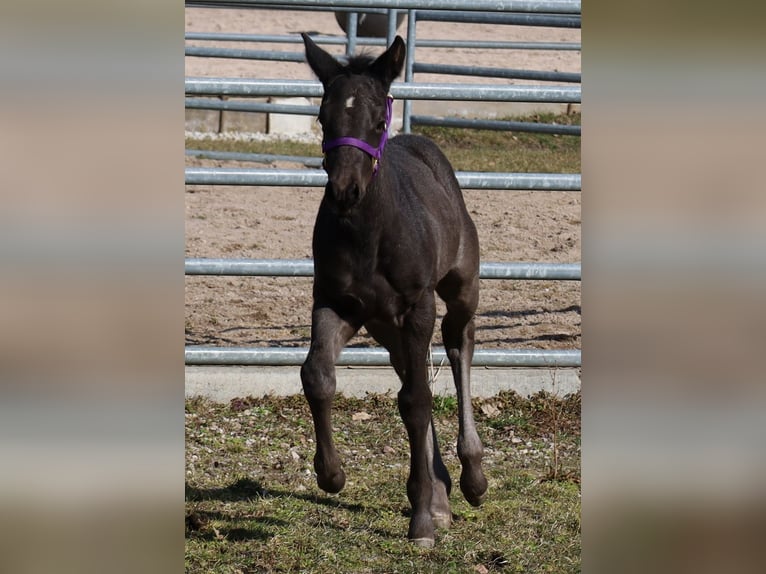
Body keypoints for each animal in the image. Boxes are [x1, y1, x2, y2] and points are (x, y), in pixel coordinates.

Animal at [300, 32, 486, 548]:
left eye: (378, 119)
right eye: (322, 116)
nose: (345, 191)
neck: (369, 236)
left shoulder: (417, 306)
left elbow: (417, 401)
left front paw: (421, 519)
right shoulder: (336, 302)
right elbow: (317, 375)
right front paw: (331, 475)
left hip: (459, 289)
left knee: (458, 345)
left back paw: (471, 477)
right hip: (385, 324)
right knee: (410, 370)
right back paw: (441, 496)